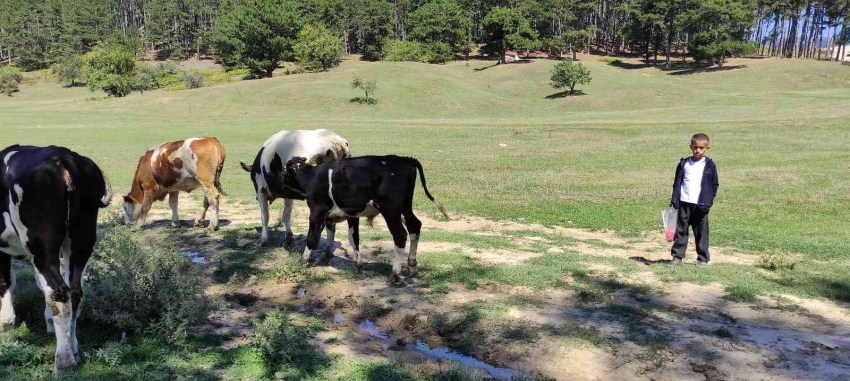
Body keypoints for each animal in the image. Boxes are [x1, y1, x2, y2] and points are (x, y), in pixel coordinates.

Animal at [0, 144, 112, 376]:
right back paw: (73, 348)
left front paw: (5, 321)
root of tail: (63, 158)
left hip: (41, 244)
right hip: (82, 238)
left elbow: (5, 281)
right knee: (75, 292)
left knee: (58, 293)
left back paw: (63, 362)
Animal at [282, 153, 448, 280]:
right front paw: (355, 265)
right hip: (406, 207)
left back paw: (394, 275)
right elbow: (352, 239)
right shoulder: (348, 215)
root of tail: (405, 159)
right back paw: (412, 266)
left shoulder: (317, 212)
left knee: (400, 235)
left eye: (286, 170)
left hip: (391, 210)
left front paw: (303, 261)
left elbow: (312, 238)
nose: (282, 181)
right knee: (415, 226)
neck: (312, 177)